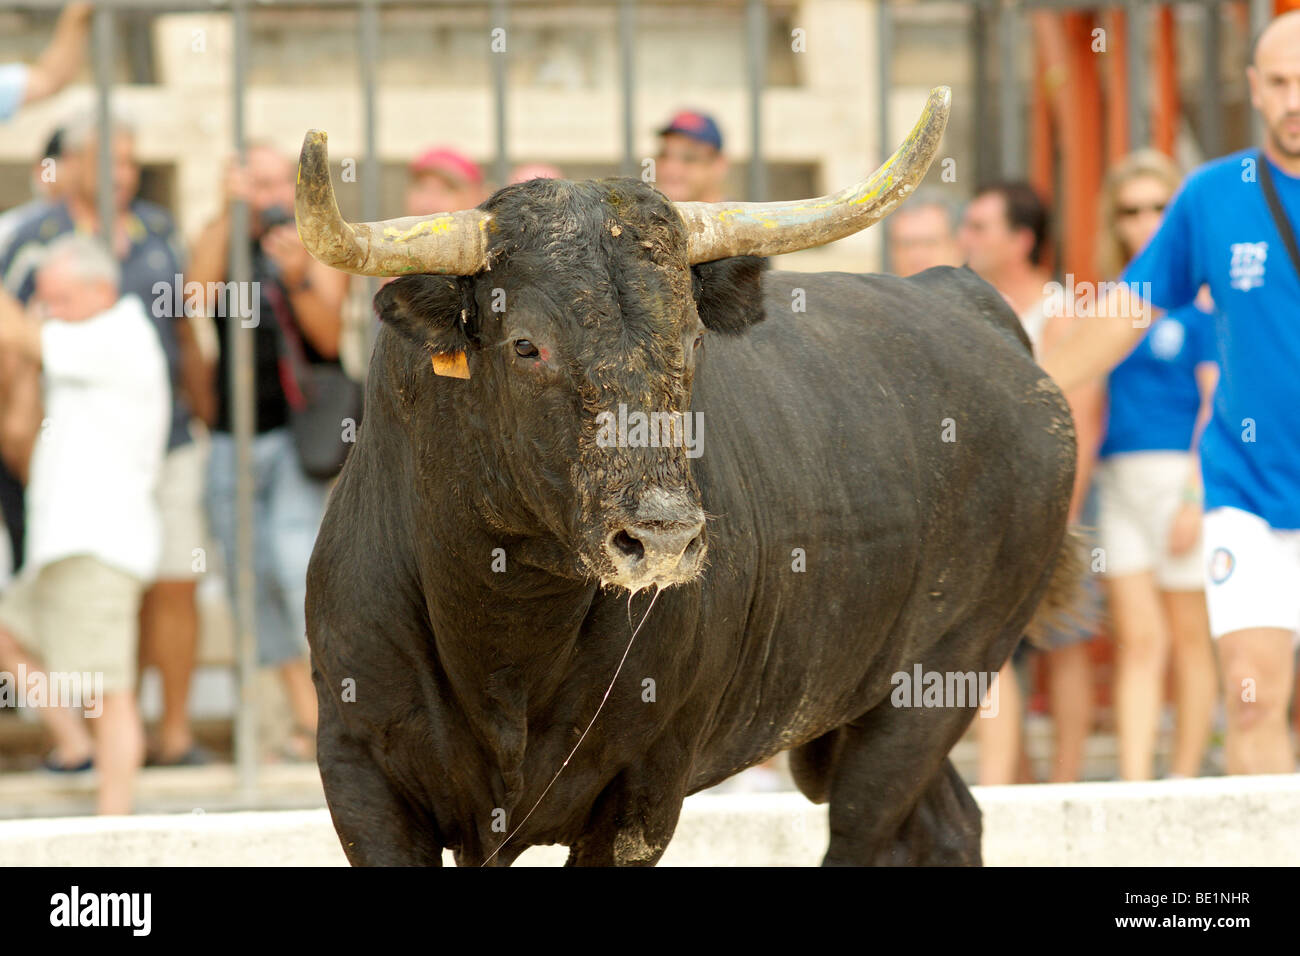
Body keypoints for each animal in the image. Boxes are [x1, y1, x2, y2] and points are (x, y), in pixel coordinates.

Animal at [301, 201, 1076, 868]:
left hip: (937, 686)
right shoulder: (359, 769)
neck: (507, 633)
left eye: (693, 339)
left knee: (869, 829)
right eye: (525, 344)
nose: (665, 537)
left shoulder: (645, 785)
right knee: (946, 825)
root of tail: (966, 300)